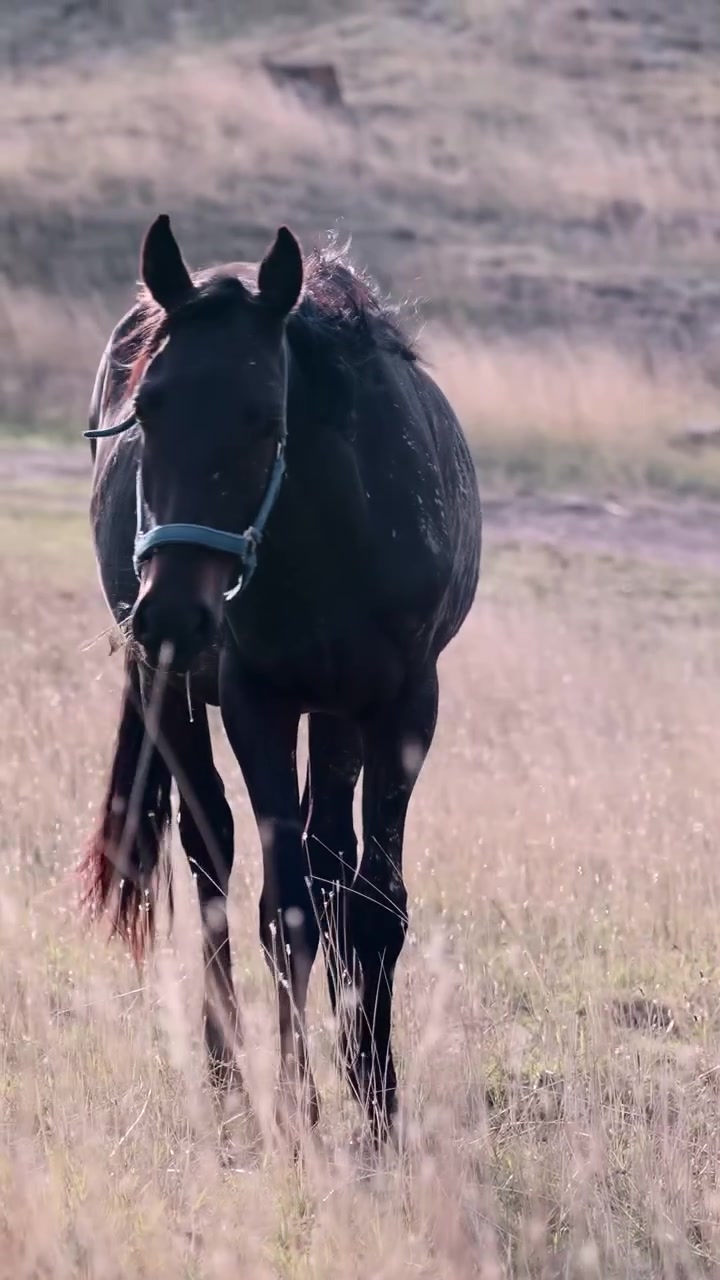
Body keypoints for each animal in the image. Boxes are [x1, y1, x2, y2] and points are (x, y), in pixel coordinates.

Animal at [81, 214, 481, 1143]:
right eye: (146, 409)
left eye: (267, 419)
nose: (172, 615)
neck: (334, 533)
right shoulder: (255, 704)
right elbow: (284, 910)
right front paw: (300, 1112)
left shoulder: (402, 707)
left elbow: (373, 906)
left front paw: (375, 1101)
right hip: (176, 697)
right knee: (211, 857)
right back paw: (228, 1081)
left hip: (332, 717)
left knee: (327, 860)